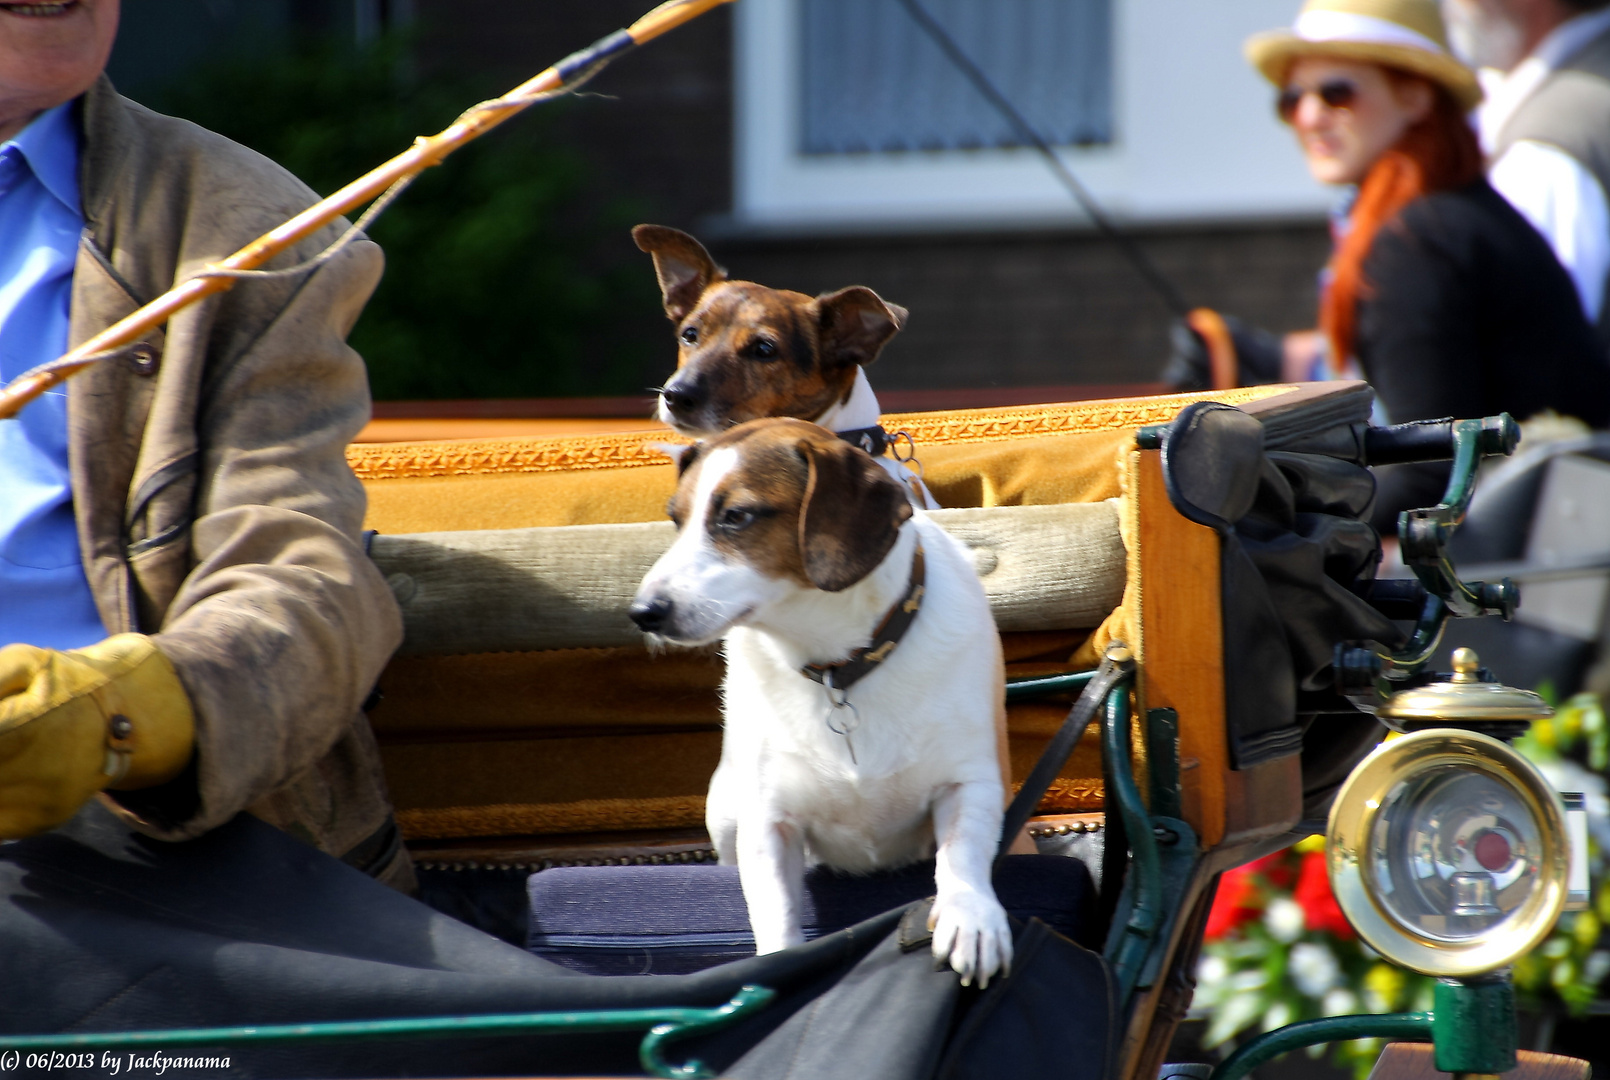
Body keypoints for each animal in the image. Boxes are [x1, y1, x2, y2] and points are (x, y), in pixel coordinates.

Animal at [624, 415, 1004, 991]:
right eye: (675, 519)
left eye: (736, 516)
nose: (643, 612)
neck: (836, 668)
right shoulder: (766, 822)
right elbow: (776, 915)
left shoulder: (971, 782)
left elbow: (962, 856)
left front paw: (970, 915)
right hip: (727, 814)